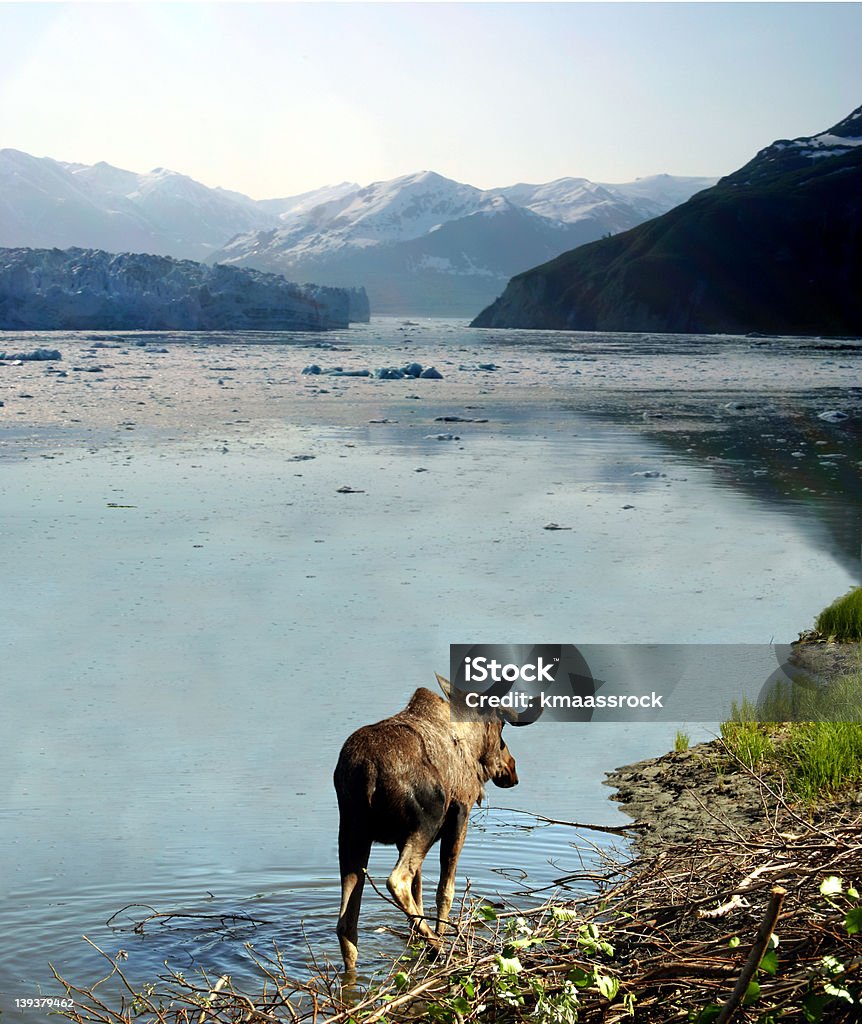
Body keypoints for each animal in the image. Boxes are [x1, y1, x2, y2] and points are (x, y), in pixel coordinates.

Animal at [331, 675, 518, 970]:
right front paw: (442, 934)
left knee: (346, 923)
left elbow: (420, 891)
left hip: (352, 831)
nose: (511, 769)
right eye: (501, 727)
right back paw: (438, 946)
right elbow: (445, 889)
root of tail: (367, 771)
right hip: (426, 822)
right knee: (397, 880)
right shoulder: (460, 814)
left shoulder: (400, 838)